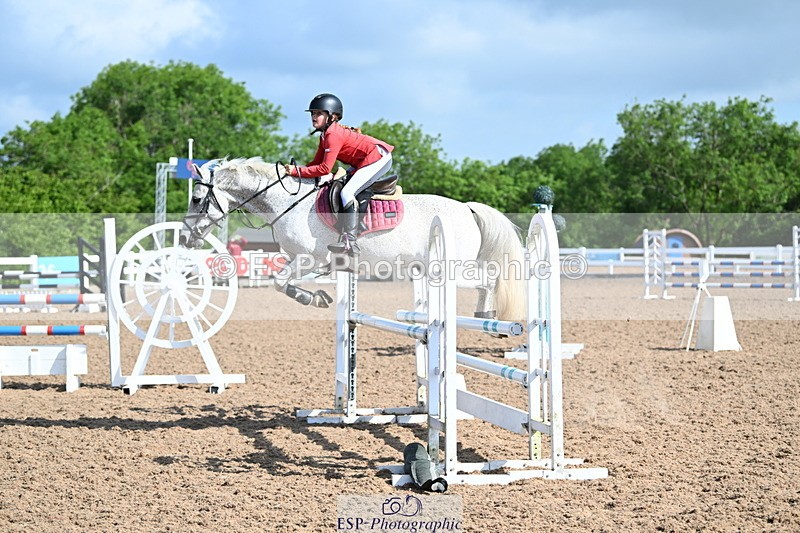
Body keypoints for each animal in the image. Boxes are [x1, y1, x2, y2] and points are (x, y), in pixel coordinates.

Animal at [179, 157, 526, 321]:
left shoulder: (310, 259)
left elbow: (279, 282)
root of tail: (468, 208)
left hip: (451, 269)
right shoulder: (299, 260)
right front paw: (317, 297)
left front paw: (312, 298)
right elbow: (279, 280)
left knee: (487, 280)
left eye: (196, 199)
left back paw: (486, 317)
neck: (286, 201)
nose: (184, 237)